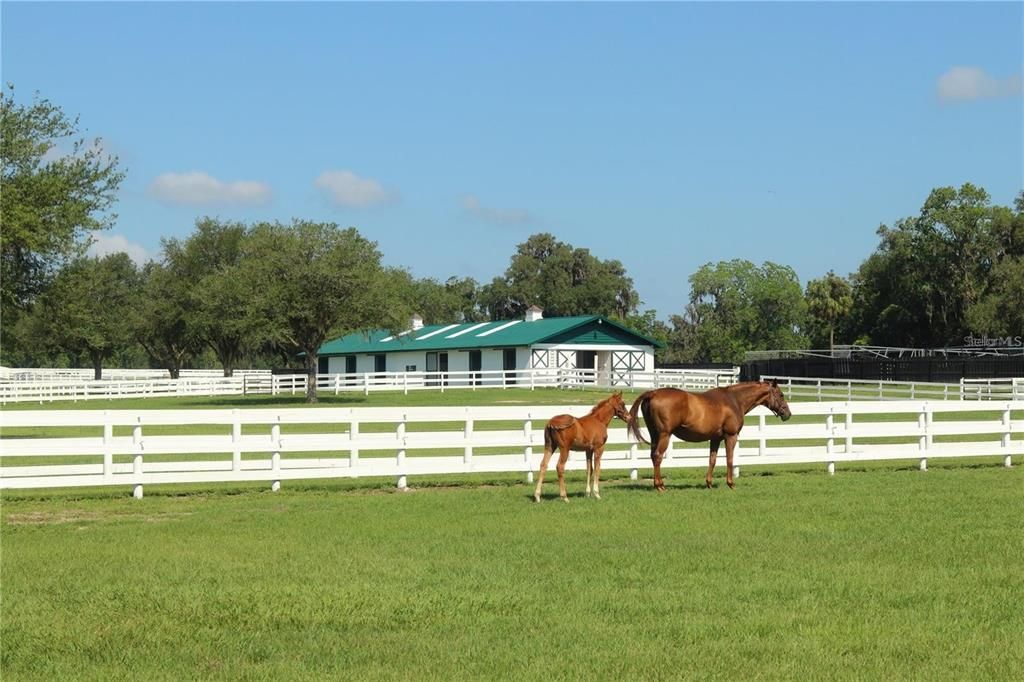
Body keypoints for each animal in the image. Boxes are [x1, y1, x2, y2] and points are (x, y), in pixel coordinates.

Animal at [622, 378, 790, 491]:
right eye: (781, 395)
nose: (787, 414)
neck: (734, 400)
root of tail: (653, 393)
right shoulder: (731, 436)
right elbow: (730, 460)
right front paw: (731, 484)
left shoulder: (715, 439)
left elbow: (712, 460)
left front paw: (709, 483)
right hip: (664, 435)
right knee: (657, 457)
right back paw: (660, 486)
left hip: (654, 435)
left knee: (653, 456)